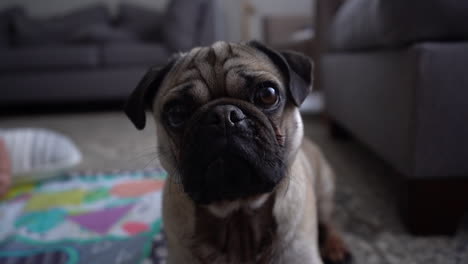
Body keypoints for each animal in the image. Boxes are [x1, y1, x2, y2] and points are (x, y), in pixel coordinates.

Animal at [124, 41, 352, 264]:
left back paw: (336, 247)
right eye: (176, 113)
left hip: (324, 193)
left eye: (268, 95)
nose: (224, 115)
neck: (237, 213)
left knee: (329, 222)